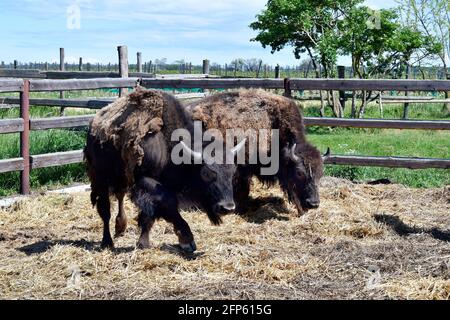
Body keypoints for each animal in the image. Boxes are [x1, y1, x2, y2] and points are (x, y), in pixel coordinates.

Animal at [85, 88, 244, 252]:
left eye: (232, 172)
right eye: (206, 173)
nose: (227, 207)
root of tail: (93, 126)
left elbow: (150, 215)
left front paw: (143, 243)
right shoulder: (145, 181)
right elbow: (167, 204)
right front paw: (187, 240)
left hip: (121, 178)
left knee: (120, 196)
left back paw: (120, 227)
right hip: (101, 178)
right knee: (105, 209)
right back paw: (107, 242)